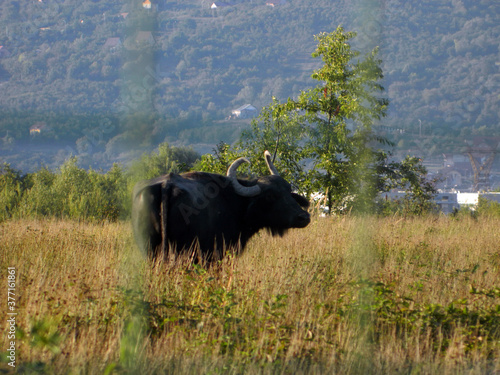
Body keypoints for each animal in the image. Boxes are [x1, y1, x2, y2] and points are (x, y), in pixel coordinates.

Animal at [133, 151, 310, 262]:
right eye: (270, 196)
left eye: (288, 191)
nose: (304, 217)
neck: (236, 204)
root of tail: (166, 184)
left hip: (150, 249)